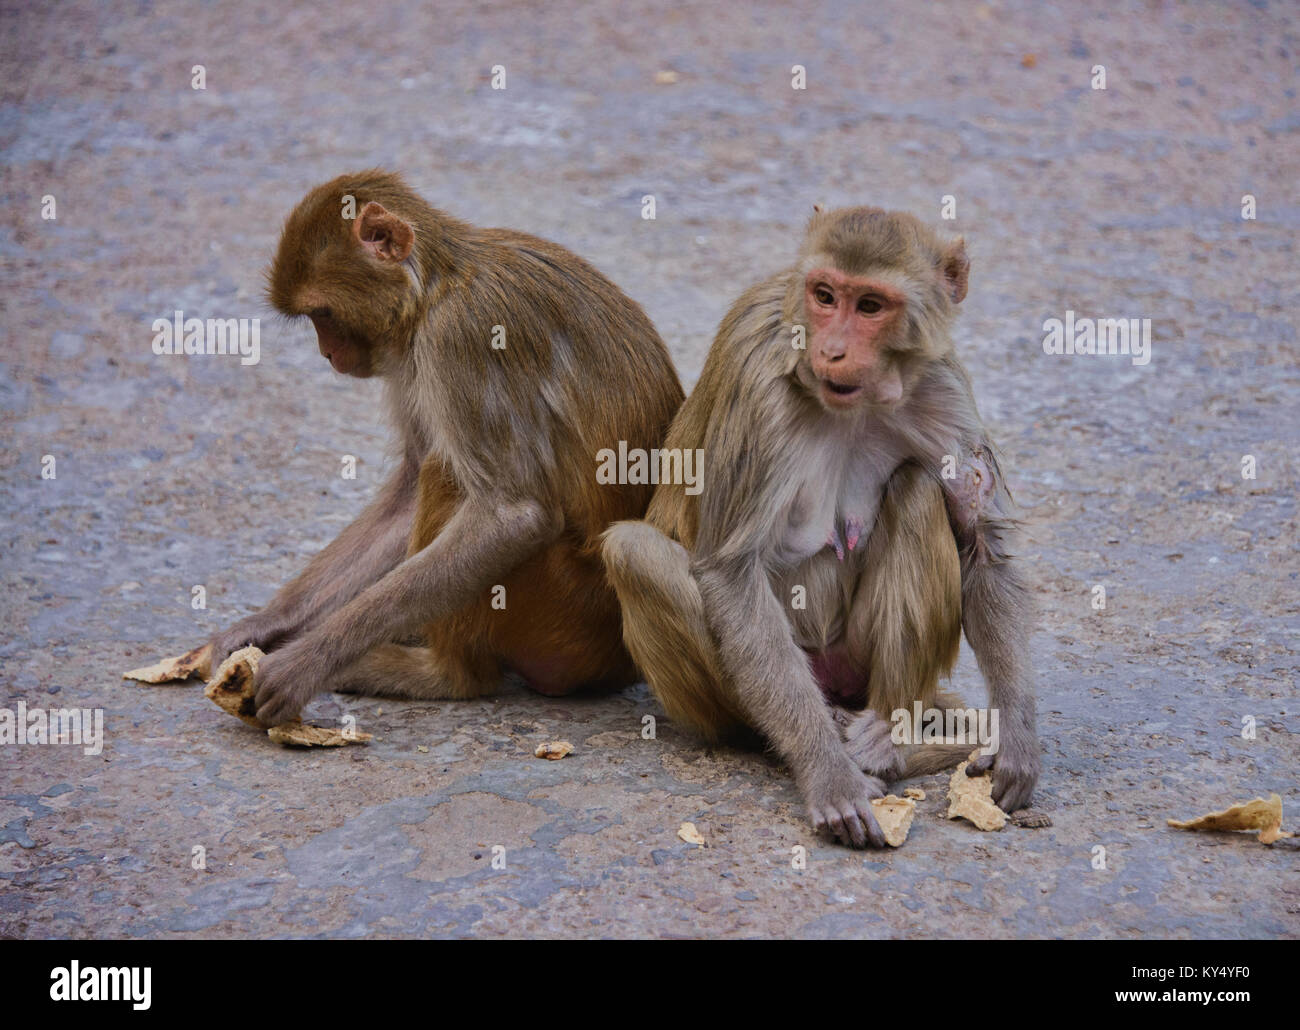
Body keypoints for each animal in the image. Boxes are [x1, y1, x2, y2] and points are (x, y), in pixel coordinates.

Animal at [206, 170, 684, 726]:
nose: (327, 354)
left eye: (322, 314)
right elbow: (409, 491)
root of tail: (621, 660)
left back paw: (443, 674)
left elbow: (512, 516)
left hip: (560, 608)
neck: (435, 287)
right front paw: (266, 624)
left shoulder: (459, 337)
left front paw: (308, 661)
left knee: (448, 476)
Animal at [602, 206, 1039, 848]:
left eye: (871, 306)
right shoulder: (759, 379)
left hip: (853, 660)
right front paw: (828, 775)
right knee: (634, 550)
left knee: (916, 490)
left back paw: (886, 735)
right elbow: (731, 572)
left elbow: (984, 545)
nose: (831, 350)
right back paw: (808, 736)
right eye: (825, 295)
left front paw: (1018, 741)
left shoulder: (940, 384)